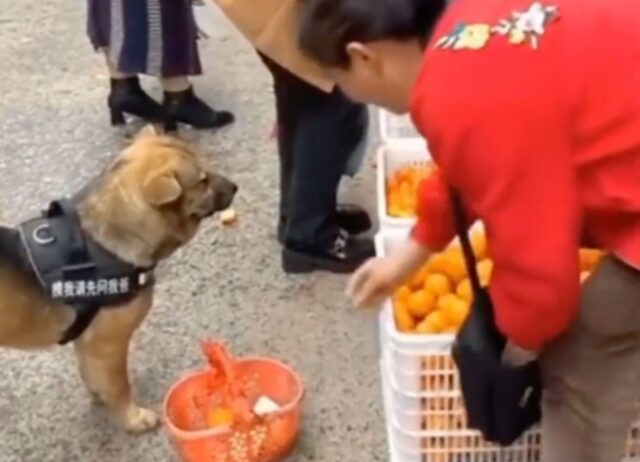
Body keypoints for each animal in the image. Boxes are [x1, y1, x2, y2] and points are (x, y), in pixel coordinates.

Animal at [0, 127, 238, 434]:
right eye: (203, 181)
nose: (235, 187)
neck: (103, 240)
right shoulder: (108, 346)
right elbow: (119, 386)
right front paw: (132, 417)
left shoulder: (87, 343)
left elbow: (90, 375)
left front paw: (99, 397)